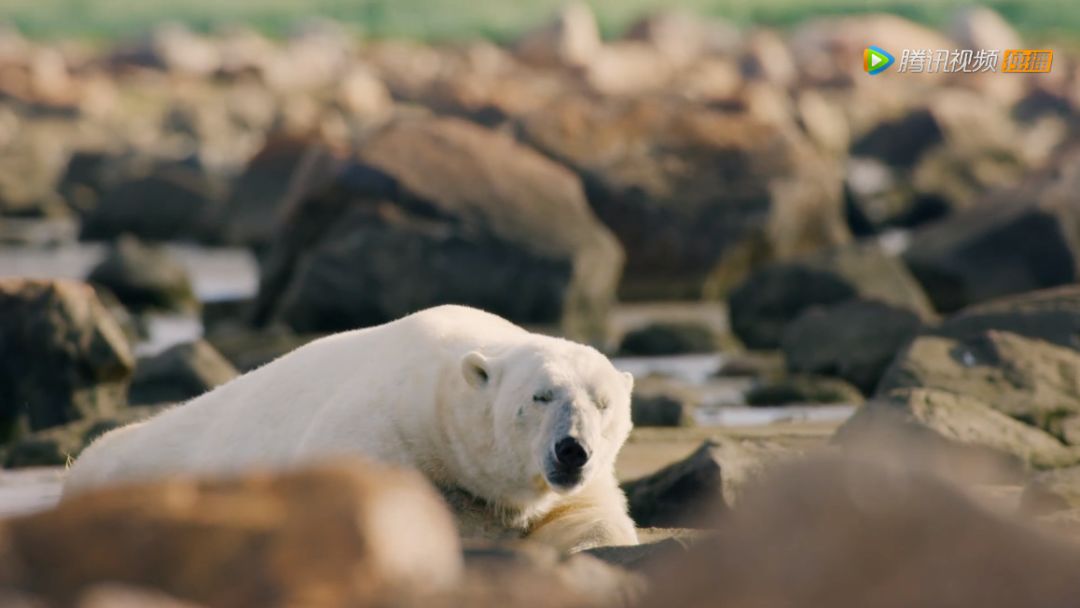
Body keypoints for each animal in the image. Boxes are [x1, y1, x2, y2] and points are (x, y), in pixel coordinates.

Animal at [65, 306, 639, 552]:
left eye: (603, 403)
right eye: (540, 396)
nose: (572, 451)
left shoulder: (570, 491)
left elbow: (593, 521)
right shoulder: (380, 430)